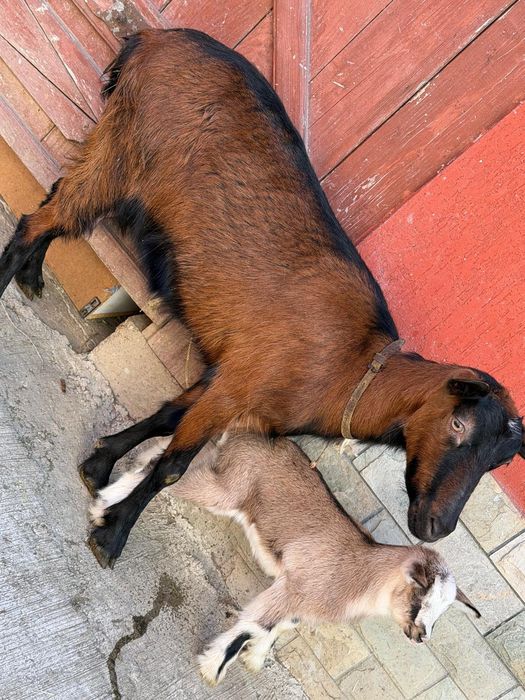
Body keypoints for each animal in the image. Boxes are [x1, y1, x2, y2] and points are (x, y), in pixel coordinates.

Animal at [0, 29, 522, 568]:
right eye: (458, 424)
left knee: (54, 206)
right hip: (125, 151)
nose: (436, 526)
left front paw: (98, 464)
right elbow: (171, 465)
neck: (350, 368)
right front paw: (112, 536)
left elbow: (166, 416)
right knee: (42, 220)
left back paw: (32, 276)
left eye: (497, 461)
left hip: (114, 144)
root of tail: (157, 37)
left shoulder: (228, 373)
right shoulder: (239, 385)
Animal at [90, 433, 480, 685]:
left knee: (168, 453)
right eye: (421, 596)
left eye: (443, 610)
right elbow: (255, 623)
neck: (363, 573)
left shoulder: (296, 600)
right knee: (175, 473)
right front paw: (213, 670)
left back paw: (104, 501)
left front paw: (254, 659)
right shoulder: (297, 586)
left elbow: (274, 628)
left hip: (223, 470)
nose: (421, 635)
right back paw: (103, 506)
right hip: (228, 488)